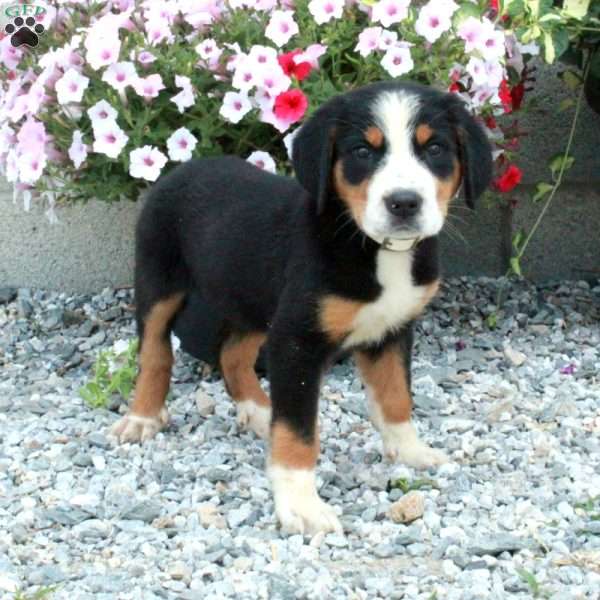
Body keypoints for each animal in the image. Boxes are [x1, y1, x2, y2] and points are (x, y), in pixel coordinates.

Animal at [109, 81, 492, 536]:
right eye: (362, 152)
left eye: (434, 148)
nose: (403, 202)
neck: (374, 249)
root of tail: (184, 169)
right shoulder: (297, 341)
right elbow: (297, 431)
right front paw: (300, 504)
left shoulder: (391, 331)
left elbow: (396, 398)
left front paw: (410, 450)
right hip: (159, 281)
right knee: (154, 354)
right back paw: (142, 418)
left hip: (252, 298)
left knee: (232, 353)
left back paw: (259, 412)